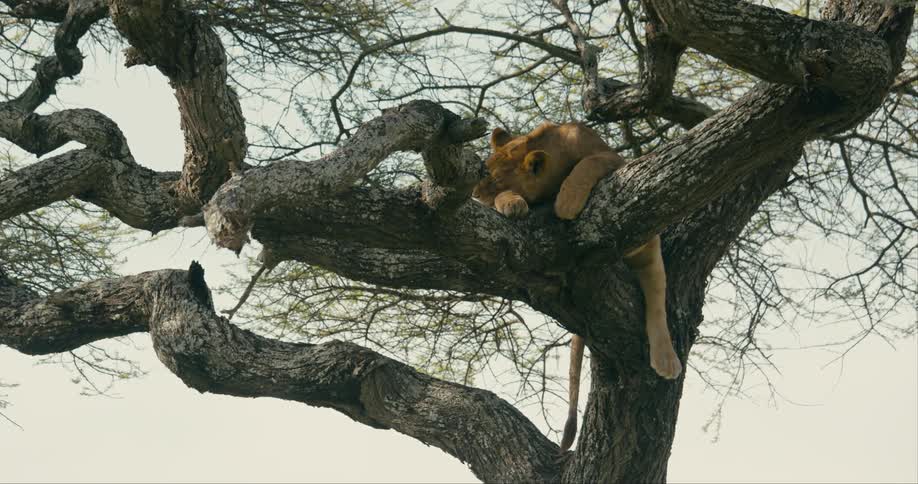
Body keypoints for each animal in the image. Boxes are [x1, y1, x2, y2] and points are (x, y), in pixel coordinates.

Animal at [472, 122, 683, 452]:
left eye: (490, 178)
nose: (472, 193)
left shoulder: (614, 158)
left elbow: (589, 163)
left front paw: (567, 202)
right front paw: (512, 203)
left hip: (649, 252)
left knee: (656, 301)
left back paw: (666, 359)